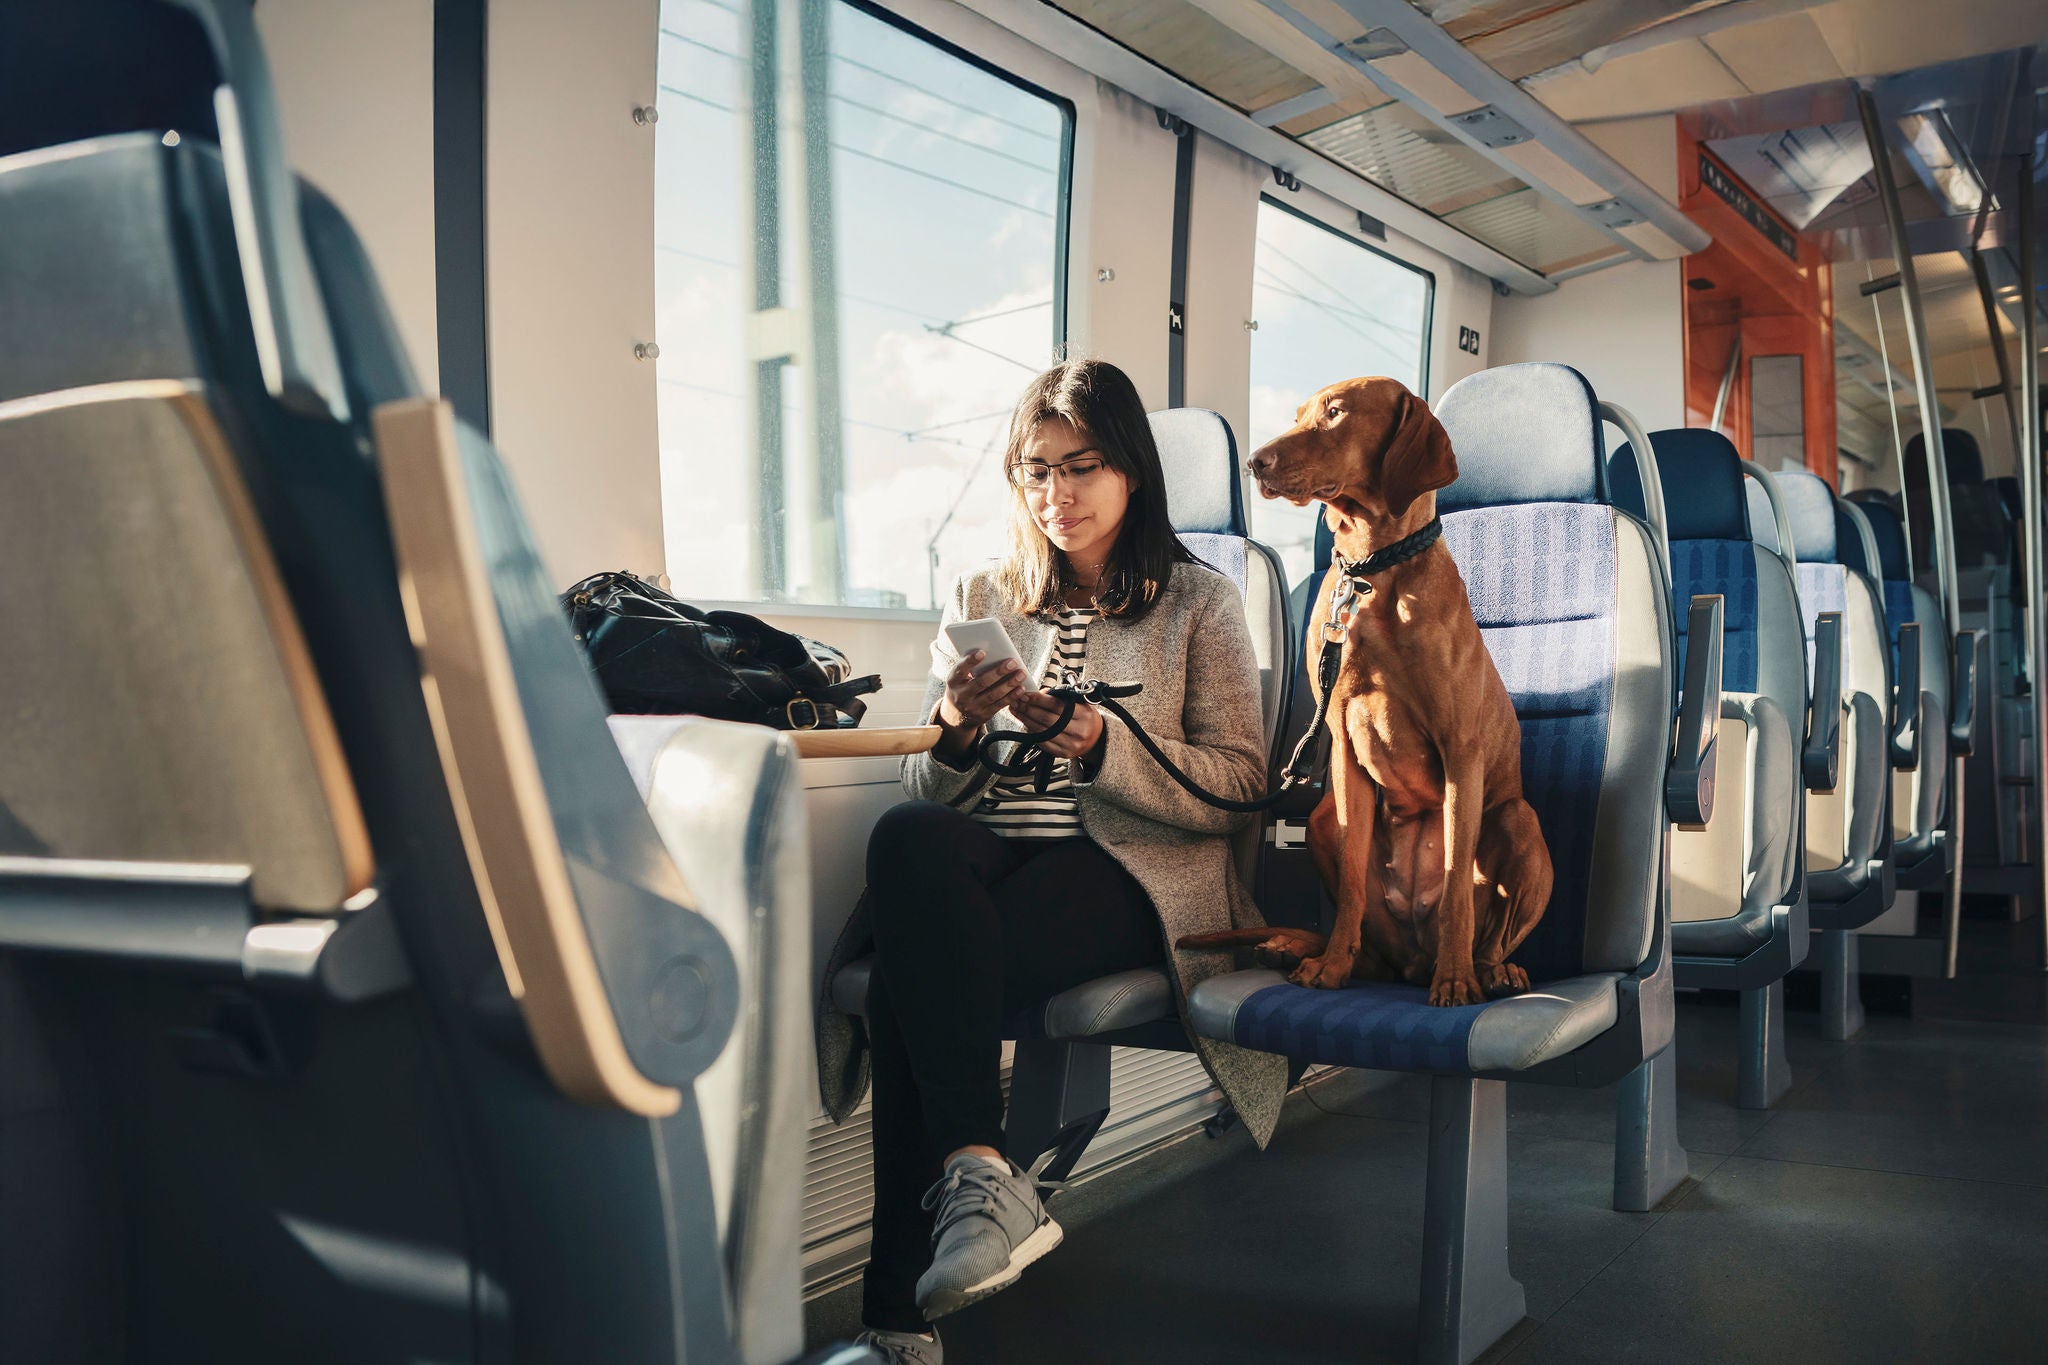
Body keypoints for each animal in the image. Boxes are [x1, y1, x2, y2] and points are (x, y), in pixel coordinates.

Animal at [1187, 374, 1548, 1002]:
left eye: (1335, 413)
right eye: (1300, 414)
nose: (1256, 462)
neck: (1371, 570)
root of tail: (1413, 960)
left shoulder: (1461, 751)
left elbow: (1457, 885)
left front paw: (1456, 981)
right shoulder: (1342, 749)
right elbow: (1354, 884)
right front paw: (1331, 967)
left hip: (1517, 818)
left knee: (1493, 931)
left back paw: (1485, 969)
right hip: (1323, 820)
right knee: (1378, 948)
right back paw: (1328, 957)